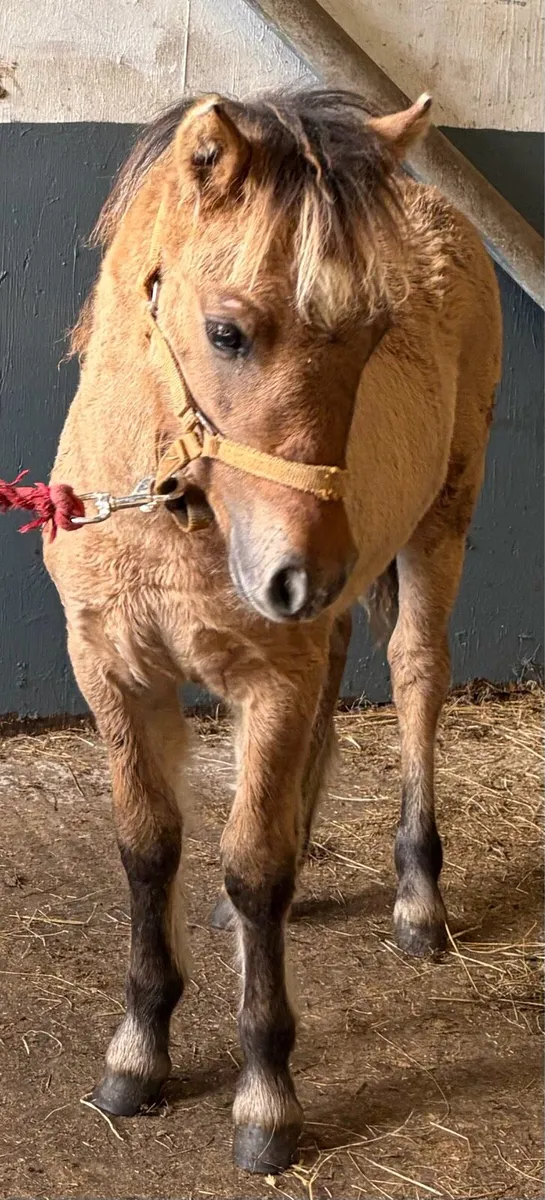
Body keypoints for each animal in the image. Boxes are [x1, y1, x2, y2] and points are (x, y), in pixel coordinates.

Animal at [44, 87, 502, 1174]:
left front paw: (264, 1101)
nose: (302, 575)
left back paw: (417, 902)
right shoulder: (112, 674)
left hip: (438, 530)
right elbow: (147, 846)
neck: (165, 516)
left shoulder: (269, 680)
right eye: (226, 332)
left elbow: (253, 868)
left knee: (415, 679)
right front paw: (138, 1054)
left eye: (373, 335)